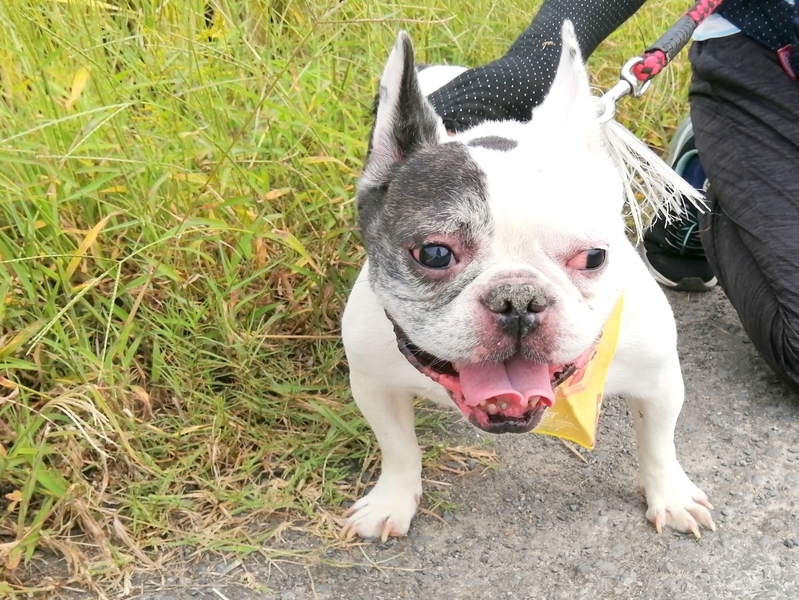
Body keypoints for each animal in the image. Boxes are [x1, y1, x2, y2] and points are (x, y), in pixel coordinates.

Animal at [340, 21, 715, 541]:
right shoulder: (374, 384)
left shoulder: (659, 381)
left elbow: (658, 442)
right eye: (434, 254)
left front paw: (671, 496)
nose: (517, 299)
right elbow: (398, 448)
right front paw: (391, 501)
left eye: (593, 257)